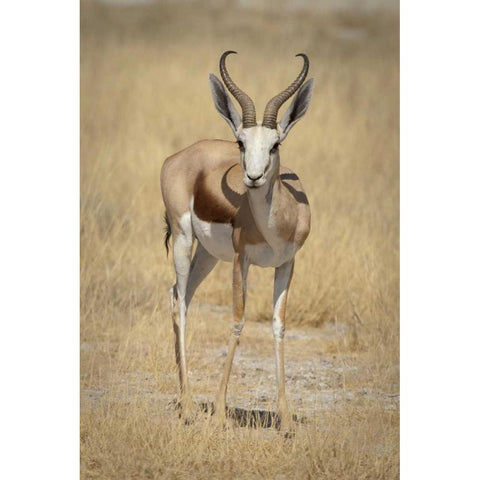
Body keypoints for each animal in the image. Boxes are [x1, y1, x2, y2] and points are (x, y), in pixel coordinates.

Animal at [159, 50, 314, 426]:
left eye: (275, 144)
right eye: (240, 142)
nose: (253, 177)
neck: (276, 226)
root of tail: (179, 156)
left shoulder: (287, 263)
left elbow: (278, 325)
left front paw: (286, 417)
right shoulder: (241, 260)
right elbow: (237, 321)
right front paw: (218, 410)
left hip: (208, 255)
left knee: (178, 295)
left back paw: (184, 397)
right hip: (184, 241)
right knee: (180, 302)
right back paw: (189, 407)